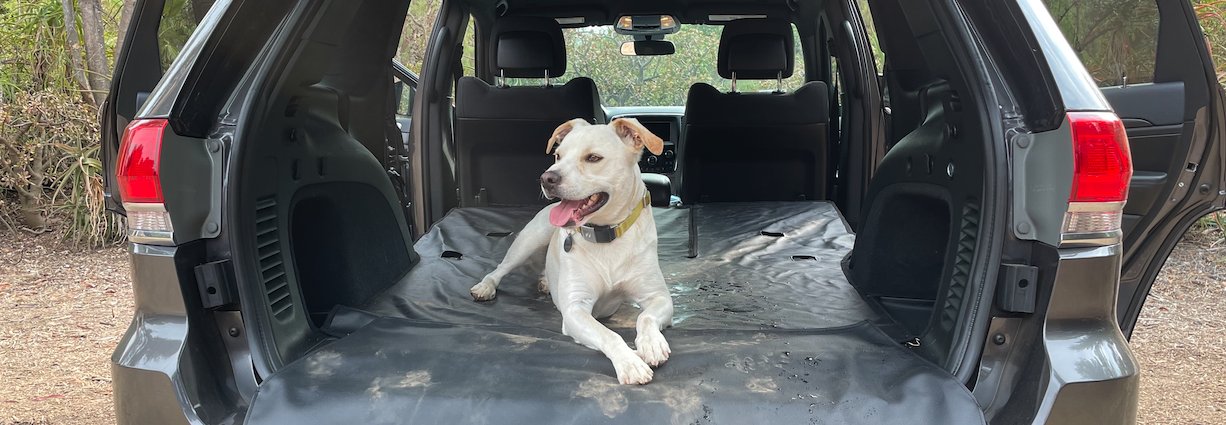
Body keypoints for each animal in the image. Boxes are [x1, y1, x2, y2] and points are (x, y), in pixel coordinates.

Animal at [468, 117, 676, 387]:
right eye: (558, 155)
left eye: (594, 158)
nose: (546, 178)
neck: (605, 235)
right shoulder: (575, 309)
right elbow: (609, 335)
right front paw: (630, 363)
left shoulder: (658, 297)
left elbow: (646, 317)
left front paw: (651, 344)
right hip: (529, 240)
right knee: (500, 268)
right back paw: (485, 286)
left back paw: (546, 281)